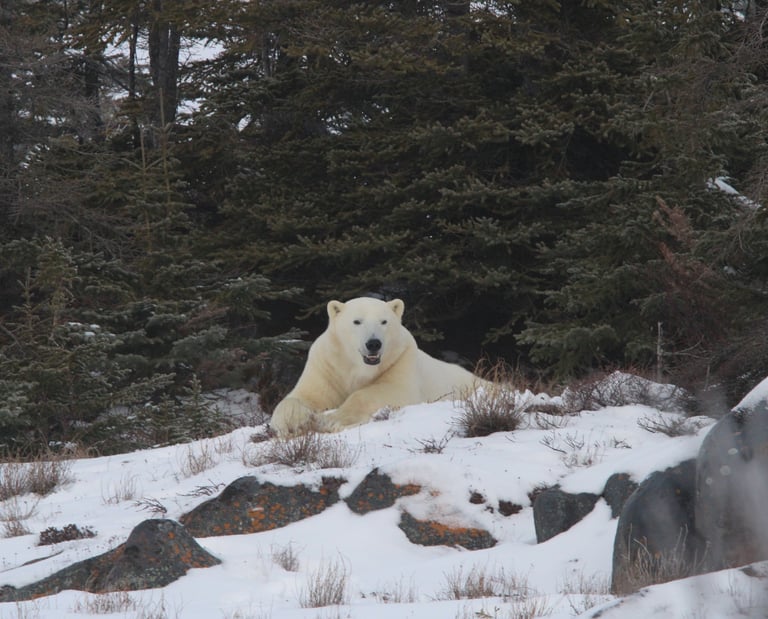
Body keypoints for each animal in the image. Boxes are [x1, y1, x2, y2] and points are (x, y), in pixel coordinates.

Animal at [269, 297, 488, 437]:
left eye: (384, 321)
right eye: (357, 321)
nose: (373, 343)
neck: (357, 366)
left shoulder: (400, 359)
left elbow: (390, 391)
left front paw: (333, 420)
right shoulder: (327, 365)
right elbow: (305, 396)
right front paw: (294, 425)